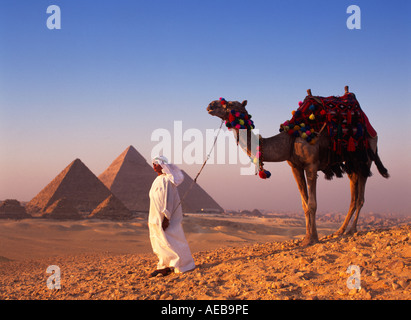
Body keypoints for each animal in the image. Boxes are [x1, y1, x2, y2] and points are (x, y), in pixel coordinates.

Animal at [208, 87, 392, 245]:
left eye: (230, 104)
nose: (210, 105)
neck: (290, 139)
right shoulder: (295, 167)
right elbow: (304, 204)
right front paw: (308, 237)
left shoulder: (311, 165)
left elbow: (312, 204)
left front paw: (311, 239)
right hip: (351, 161)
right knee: (353, 195)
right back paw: (340, 231)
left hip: (365, 157)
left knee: (360, 197)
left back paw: (351, 230)